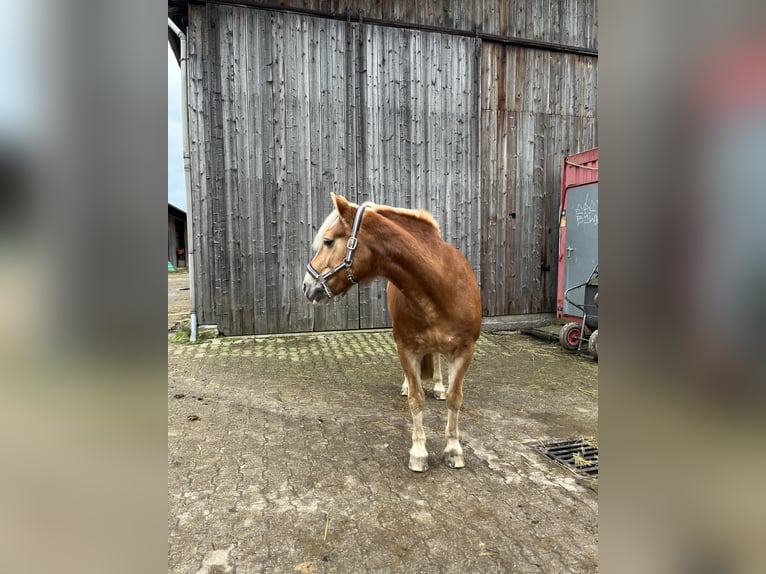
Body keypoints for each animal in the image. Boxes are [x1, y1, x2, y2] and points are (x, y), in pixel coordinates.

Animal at [304, 194, 484, 472]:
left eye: (328, 241)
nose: (307, 286)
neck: (441, 288)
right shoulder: (406, 348)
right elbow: (416, 399)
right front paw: (419, 453)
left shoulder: (465, 351)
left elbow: (455, 399)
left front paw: (454, 450)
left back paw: (438, 386)